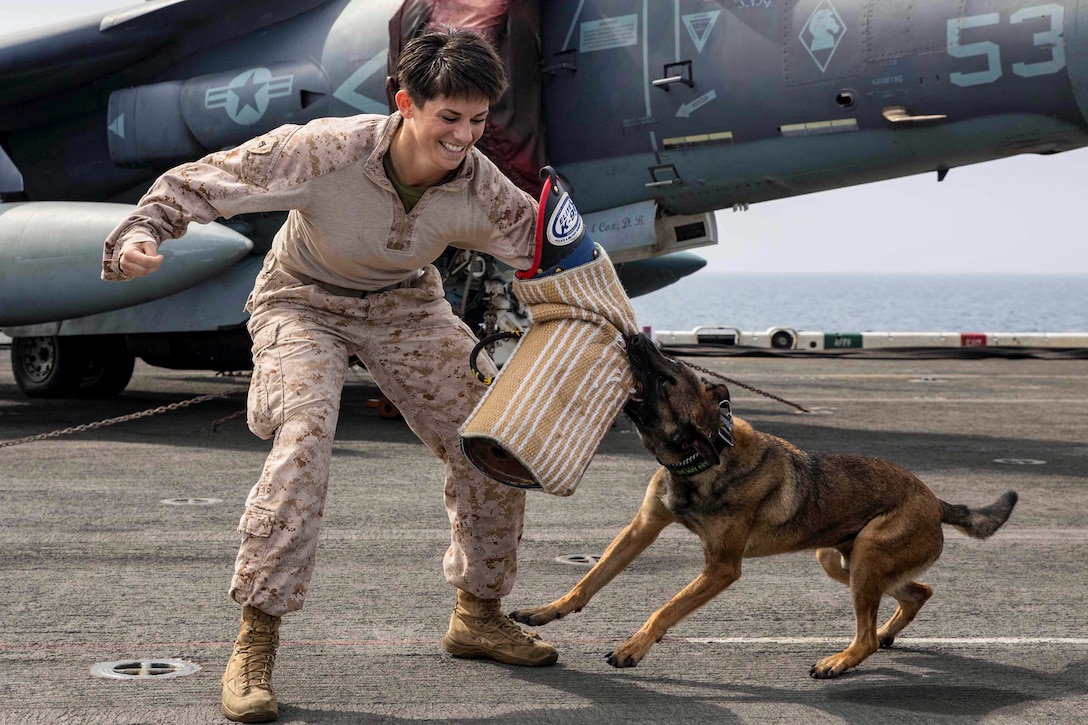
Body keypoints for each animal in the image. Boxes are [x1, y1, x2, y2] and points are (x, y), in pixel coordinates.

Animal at [513, 330, 1014, 674]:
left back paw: (840, 661)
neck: (699, 459)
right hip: (843, 560)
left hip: (867, 557)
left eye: (667, 377)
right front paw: (548, 610)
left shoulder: (721, 568)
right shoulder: (641, 529)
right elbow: (590, 580)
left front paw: (633, 647)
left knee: (870, 633)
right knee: (916, 592)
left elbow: (666, 608)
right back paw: (887, 632)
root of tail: (936, 501)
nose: (636, 335)